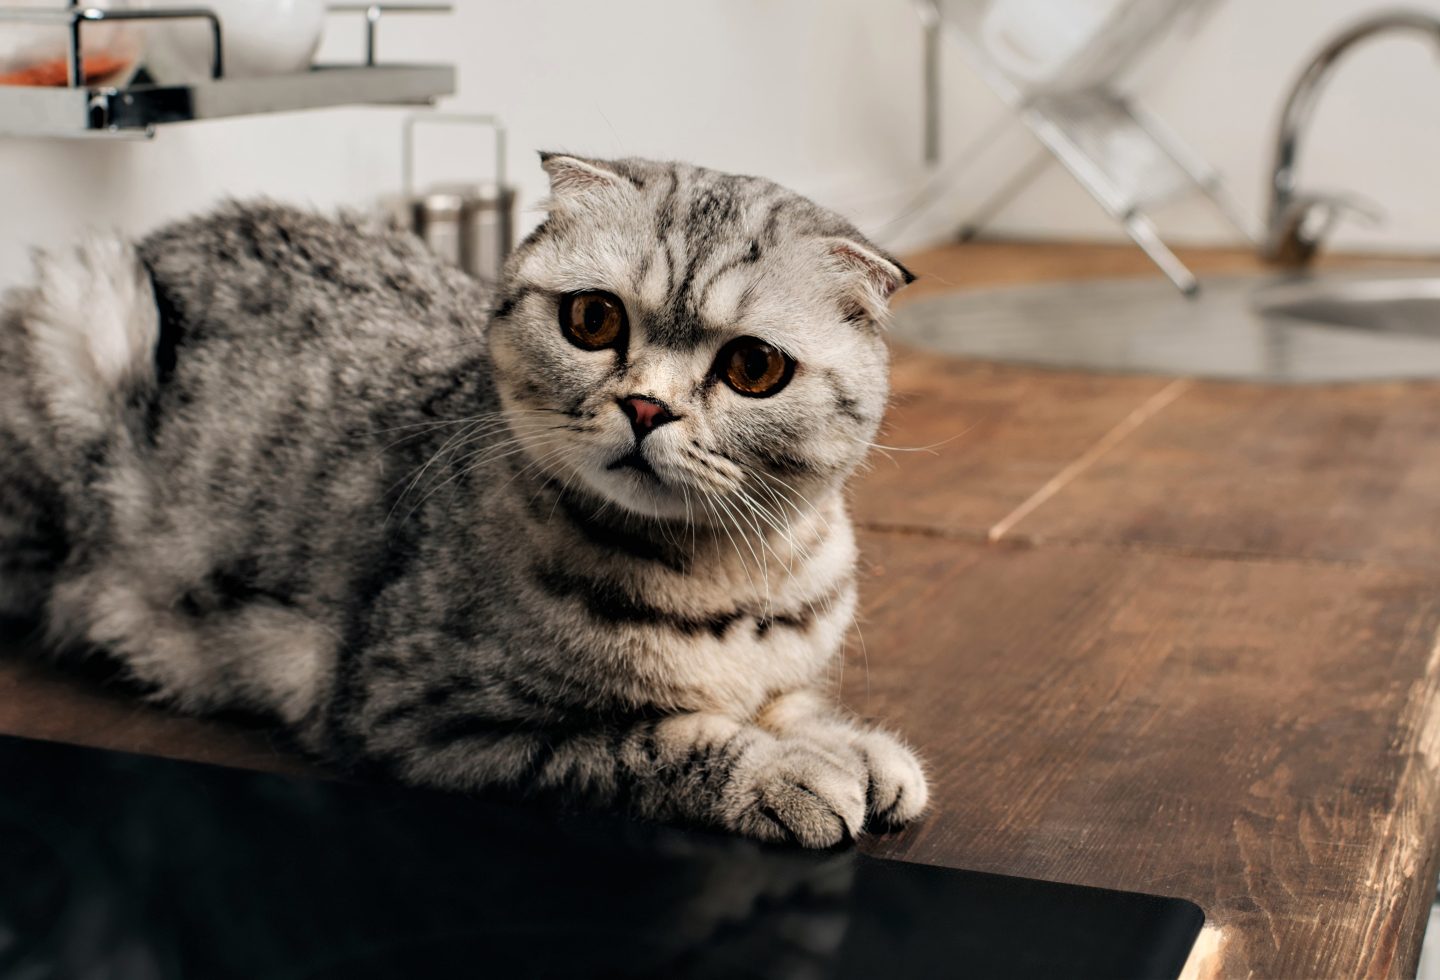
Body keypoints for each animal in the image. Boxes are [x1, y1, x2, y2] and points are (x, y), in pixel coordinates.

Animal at [0, 156, 927, 846]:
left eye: (753, 367)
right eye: (593, 319)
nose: (646, 407)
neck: (736, 573)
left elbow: (792, 701)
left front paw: (850, 746)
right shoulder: (431, 719)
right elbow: (658, 738)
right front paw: (784, 770)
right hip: (89, 310)